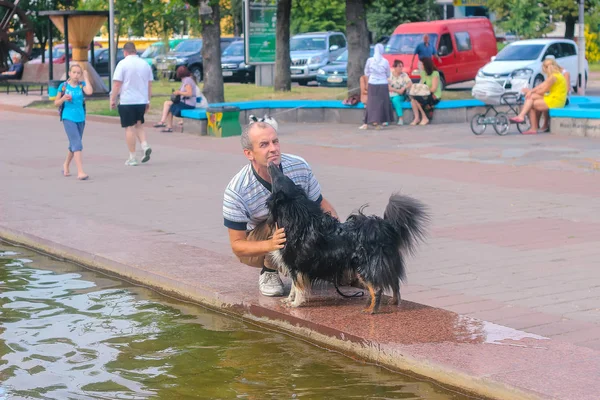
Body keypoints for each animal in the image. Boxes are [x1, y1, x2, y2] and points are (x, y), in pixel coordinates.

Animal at [266, 162, 426, 312]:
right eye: (283, 177)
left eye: (278, 178)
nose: (271, 164)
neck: (294, 216)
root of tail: (386, 227)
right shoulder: (294, 267)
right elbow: (294, 287)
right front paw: (288, 300)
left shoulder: (296, 265)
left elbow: (298, 287)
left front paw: (295, 304)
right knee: (394, 283)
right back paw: (393, 302)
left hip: (365, 266)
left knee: (378, 288)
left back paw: (370, 310)